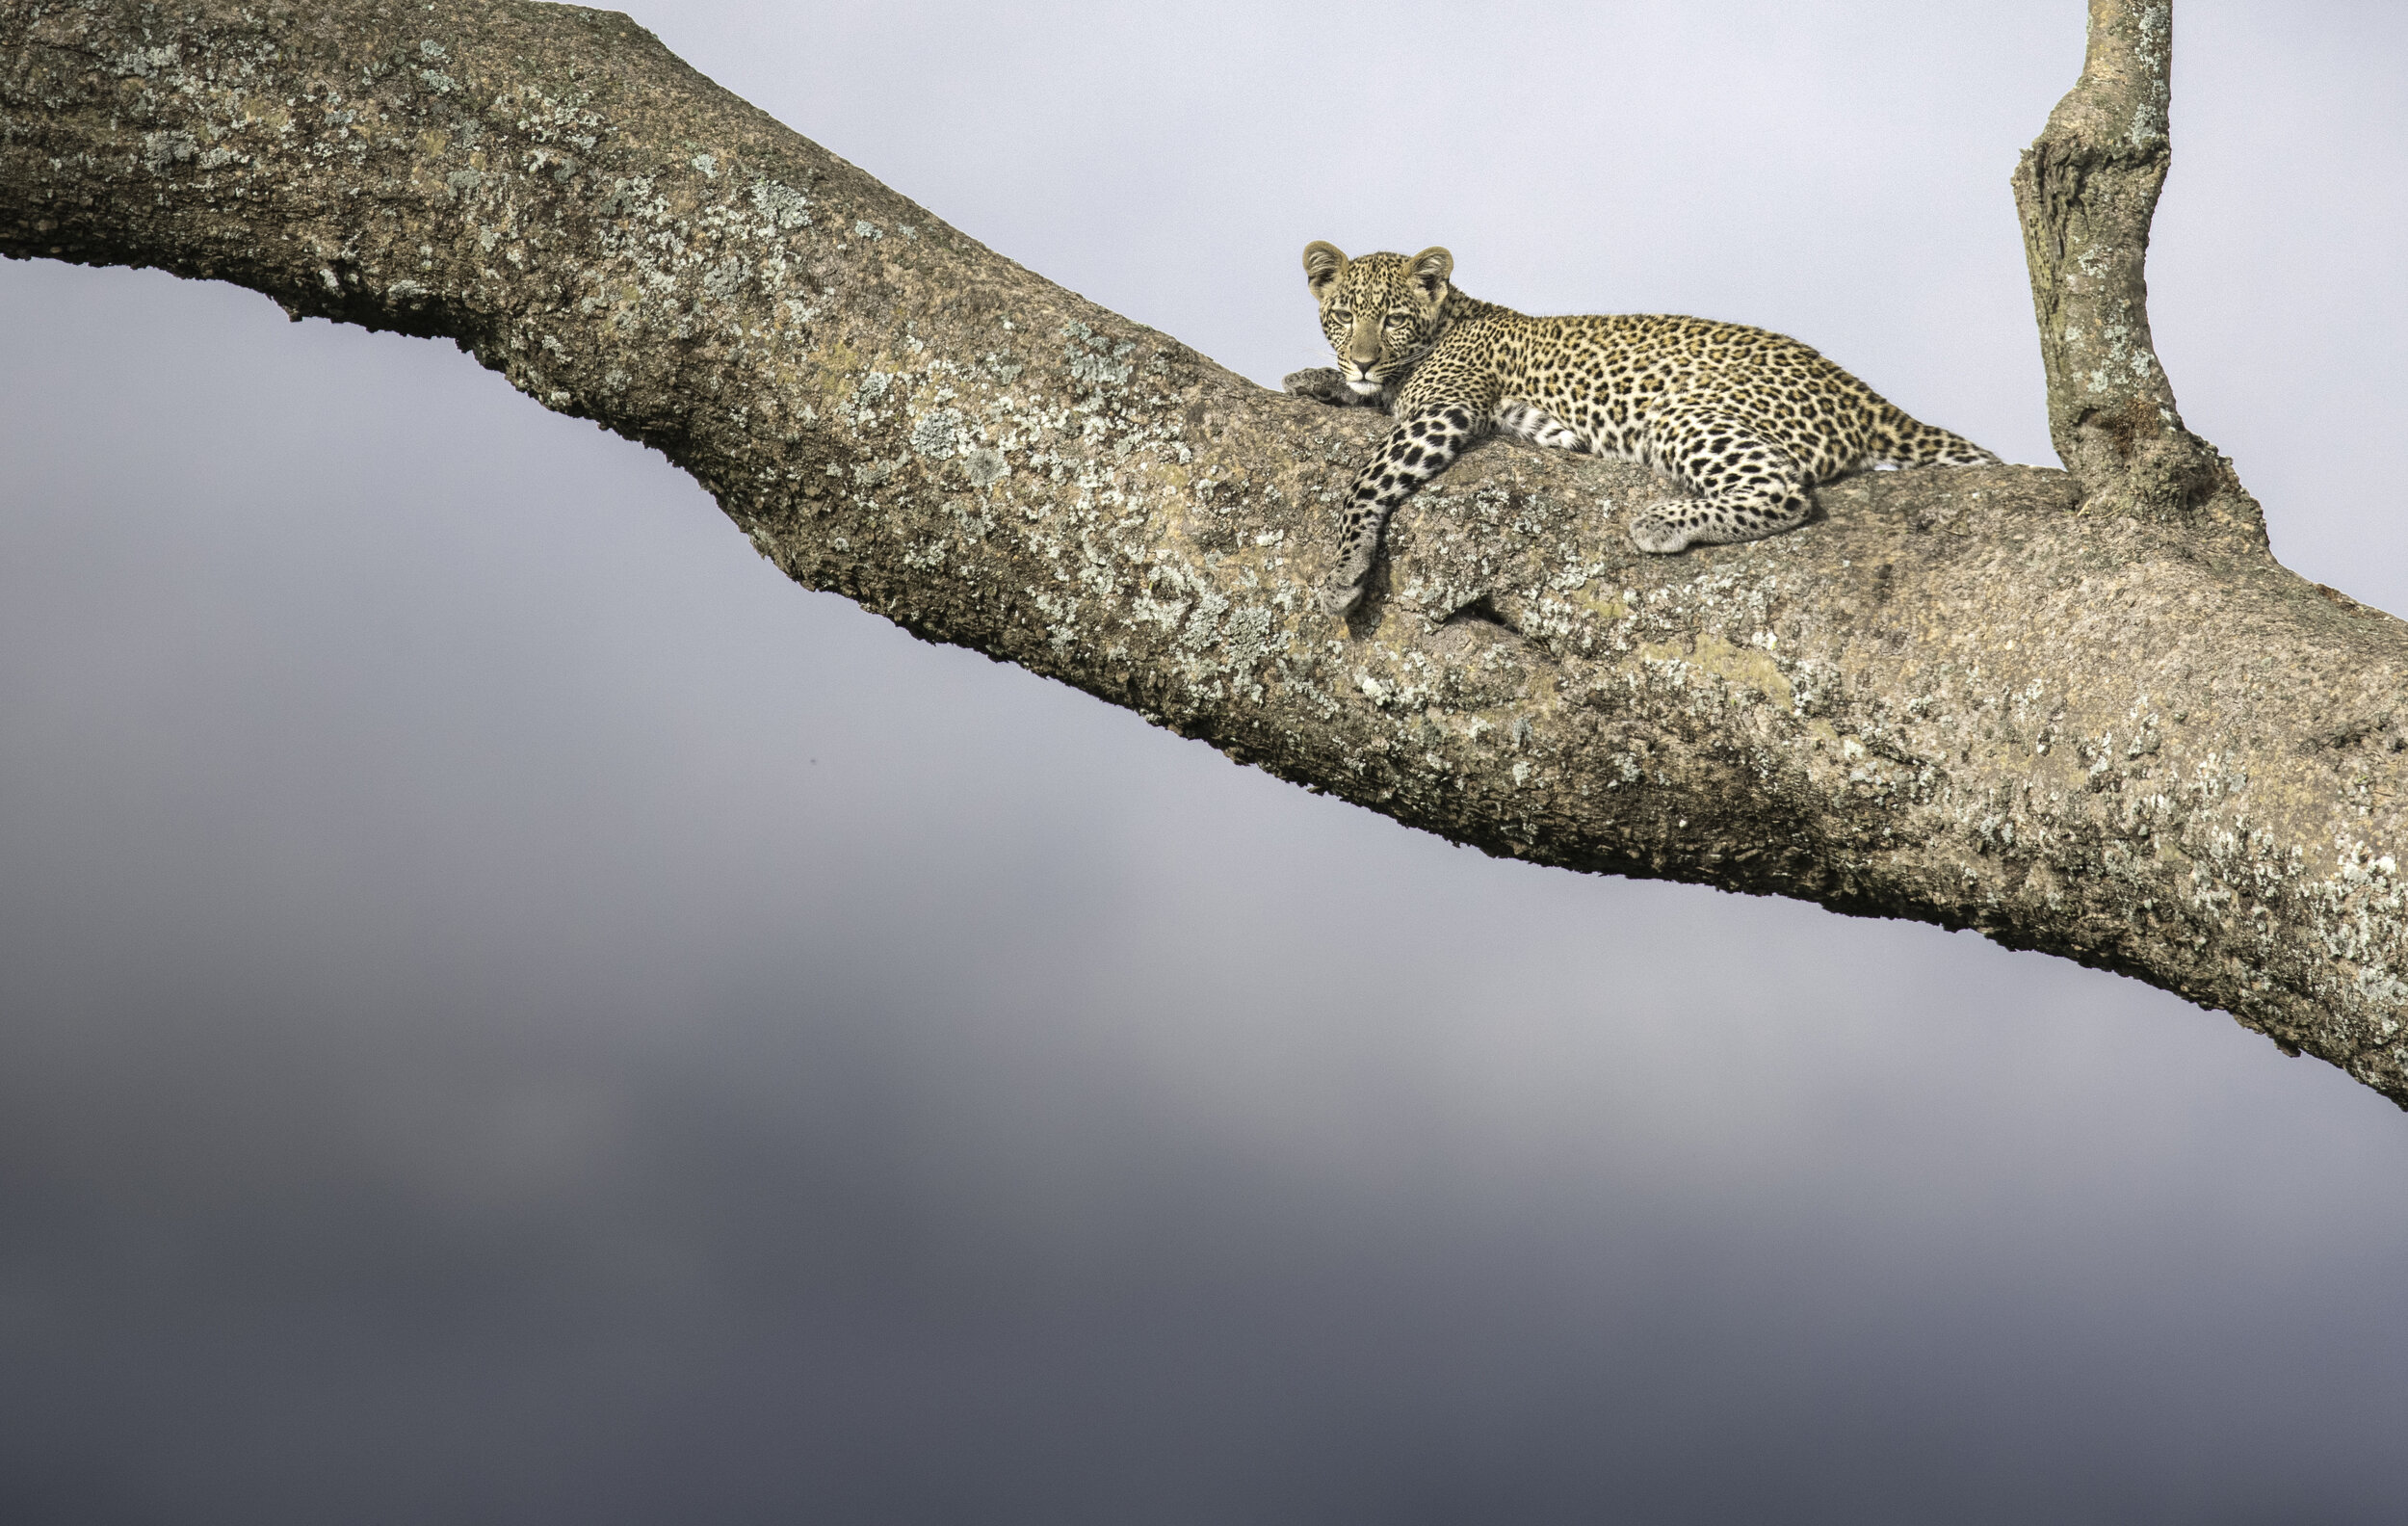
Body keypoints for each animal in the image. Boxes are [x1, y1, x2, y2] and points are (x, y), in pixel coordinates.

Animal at [1291, 243, 2003, 611]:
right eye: (1345, 315)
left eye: (1393, 319)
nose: (1363, 359)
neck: (1448, 321)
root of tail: (1860, 389)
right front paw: (1315, 378)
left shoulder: (1444, 409)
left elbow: (1366, 478)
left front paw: (1342, 571)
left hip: (1684, 415)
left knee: (1785, 491)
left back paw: (1662, 522)